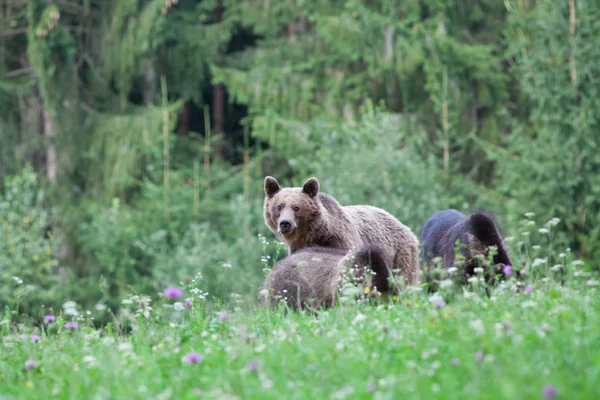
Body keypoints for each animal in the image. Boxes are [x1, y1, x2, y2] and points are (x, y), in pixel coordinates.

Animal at [262, 177, 418, 286]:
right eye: (279, 206)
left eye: (296, 207)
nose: (285, 223)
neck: (312, 235)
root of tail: (404, 226)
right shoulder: (299, 248)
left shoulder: (340, 241)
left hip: (399, 254)